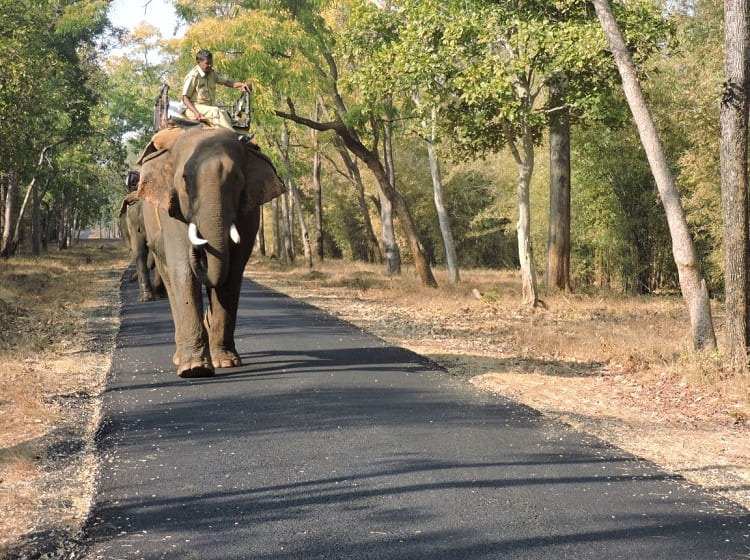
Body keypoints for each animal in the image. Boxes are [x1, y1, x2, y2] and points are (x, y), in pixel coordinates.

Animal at [132, 128, 284, 376]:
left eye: (236, 179)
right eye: (185, 179)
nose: (198, 247)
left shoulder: (247, 213)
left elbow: (231, 273)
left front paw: (226, 362)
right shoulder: (172, 211)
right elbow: (184, 270)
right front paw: (194, 369)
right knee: (169, 278)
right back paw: (179, 356)